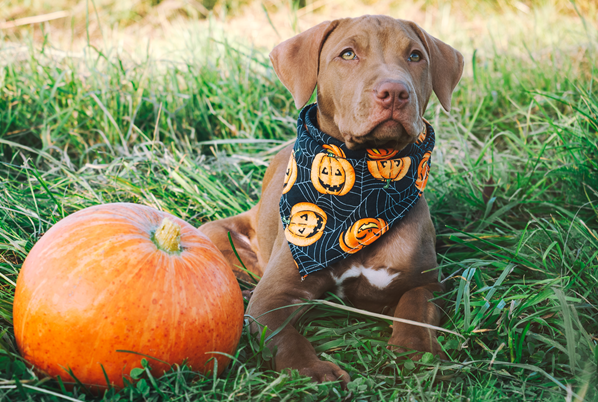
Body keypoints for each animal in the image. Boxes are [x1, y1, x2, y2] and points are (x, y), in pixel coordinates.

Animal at [200, 15, 464, 386]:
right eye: (348, 54)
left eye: (415, 56)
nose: (395, 92)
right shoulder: (273, 297)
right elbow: (284, 336)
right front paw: (312, 371)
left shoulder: (425, 282)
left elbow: (415, 311)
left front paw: (416, 353)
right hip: (216, 235)